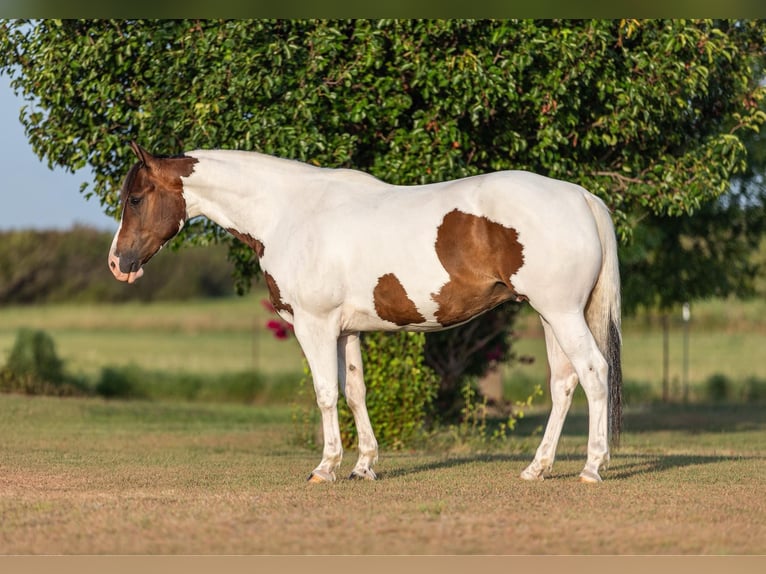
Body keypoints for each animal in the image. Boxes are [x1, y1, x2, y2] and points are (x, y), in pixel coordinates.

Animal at [109, 141, 622, 484]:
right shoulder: (345, 331)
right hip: (551, 315)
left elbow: (325, 394)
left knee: (594, 372)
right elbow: (355, 392)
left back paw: (592, 467)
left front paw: (326, 467)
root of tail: (580, 196)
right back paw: (537, 467)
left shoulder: (314, 326)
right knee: (564, 383)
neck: (289, 213)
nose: (119, 264)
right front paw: (364, 465)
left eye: (135, 198)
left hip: (561, 313)